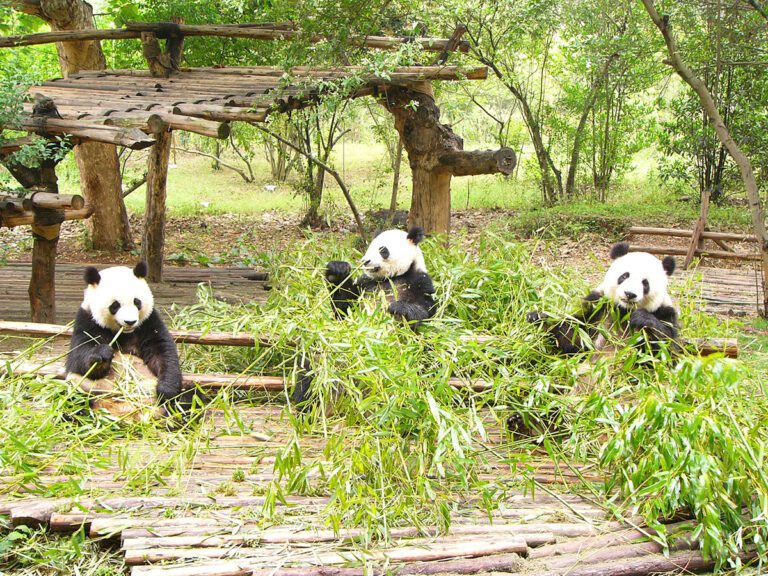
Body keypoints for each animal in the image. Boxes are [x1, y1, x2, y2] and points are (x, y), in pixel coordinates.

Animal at [65, 261, 192, 415]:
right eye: (115, 305)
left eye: (137, 302)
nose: (130, 321)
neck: (123, 333)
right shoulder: (87, 320)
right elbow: (78, 359)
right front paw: (102, 354)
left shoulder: (148, 322)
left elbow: (162, 352)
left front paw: (166, 390)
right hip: (86, 390)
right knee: (72, 397)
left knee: (191, 395)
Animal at [527, 242, 679, 355]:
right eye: (624, 276)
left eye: (645, 283)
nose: (629, 294)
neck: (623, 311)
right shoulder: (597, 305)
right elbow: (575, 337)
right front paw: (538, 317)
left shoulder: (664, 311)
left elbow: (669, 348)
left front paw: (642, 318)